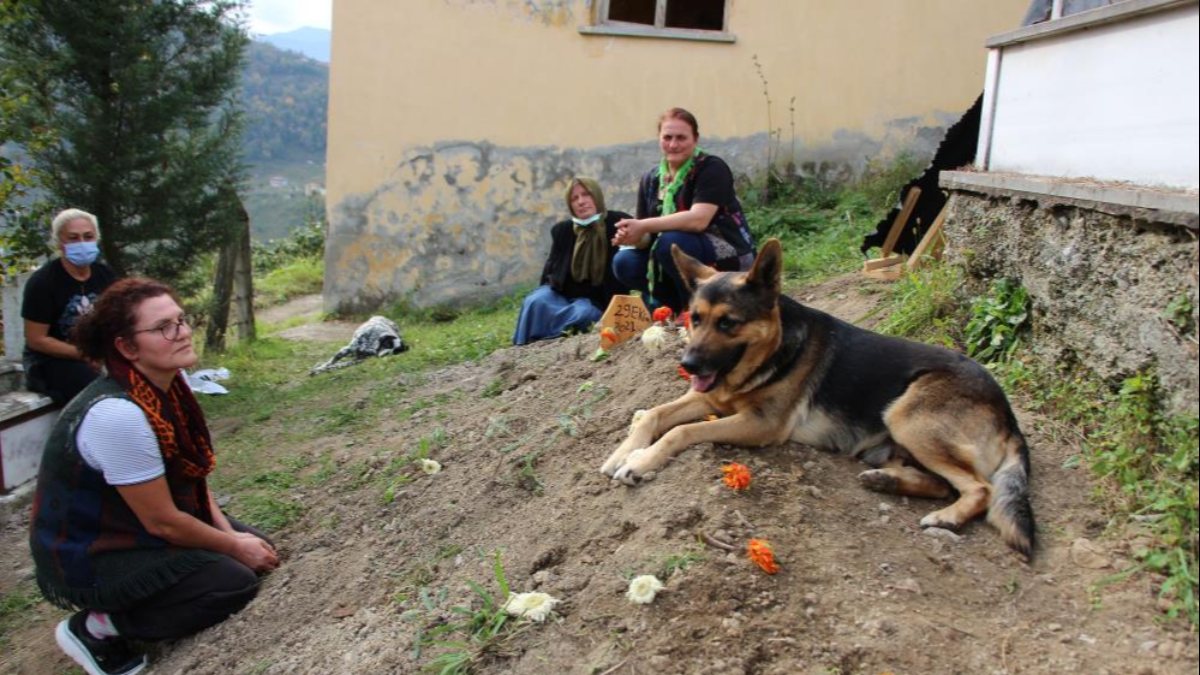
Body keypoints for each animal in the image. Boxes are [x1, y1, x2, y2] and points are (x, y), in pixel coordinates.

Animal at [604, 239, 1036, 554]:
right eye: (695, 319)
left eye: (728, 323)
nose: (688, 364)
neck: (776, 347)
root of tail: (1009, 415)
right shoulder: (713, 399)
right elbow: (653, 414)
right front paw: (621, 453)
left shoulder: (760, 424)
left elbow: (682, 432)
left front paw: (639, 461)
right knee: (944, 484)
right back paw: (887, 481)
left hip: (906, 417)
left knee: (980, 489)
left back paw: (946, 518)